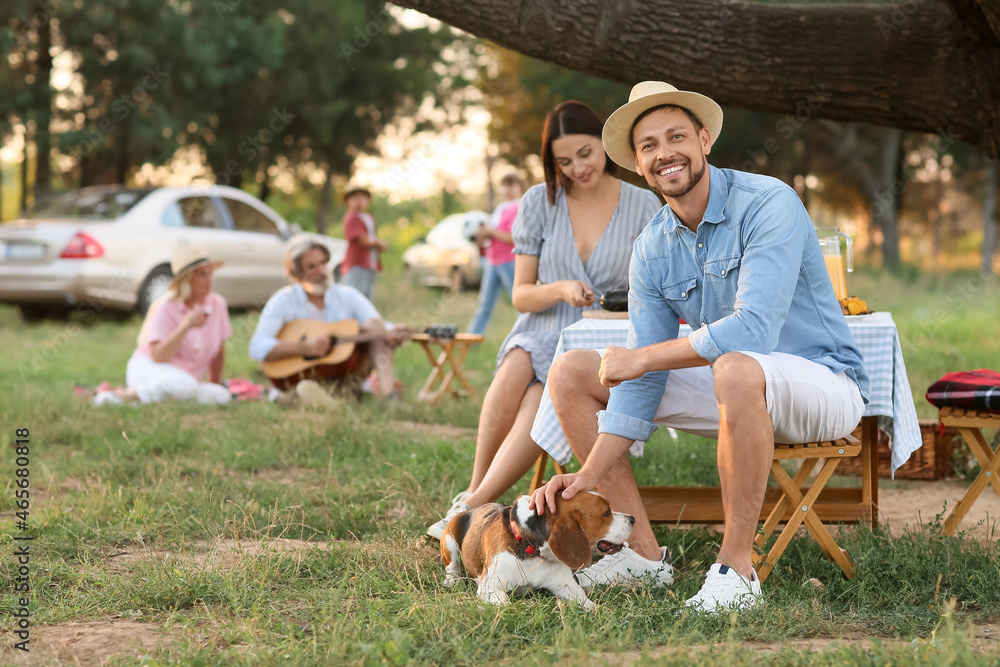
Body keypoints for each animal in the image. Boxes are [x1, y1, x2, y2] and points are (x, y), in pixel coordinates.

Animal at [444, 488, 636, 608]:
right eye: (606, 513)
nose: (633, 519)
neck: (534, 550)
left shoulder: (568, 586)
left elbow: (591, 605)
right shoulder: (489, 586)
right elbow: (504, 603)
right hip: (449, 537)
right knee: (452, 566)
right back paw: (452, 580)